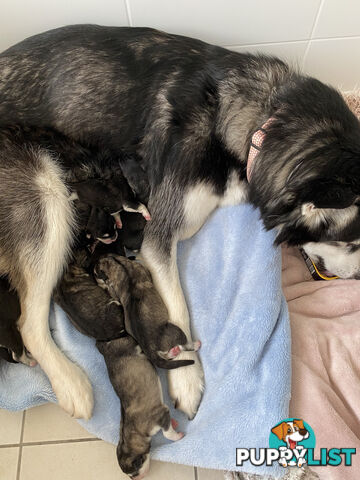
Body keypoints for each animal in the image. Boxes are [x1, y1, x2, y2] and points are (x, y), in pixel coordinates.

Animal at [0, 24, 360, 420]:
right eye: (351, 243)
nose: (358, 277)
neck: (263, 123)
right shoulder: (159, 233)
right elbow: (177, 304)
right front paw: (187, 377)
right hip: (46, 196)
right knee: (29, 324)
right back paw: (70, 382)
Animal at [97, 338, 184, 480]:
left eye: (135, 470)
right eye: (130, 476)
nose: (137, 478)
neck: (131, 433)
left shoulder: (160, 415)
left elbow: (167, 433)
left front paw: (177, 436)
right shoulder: (163, 415)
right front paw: (174, 423)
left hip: (130, 345)